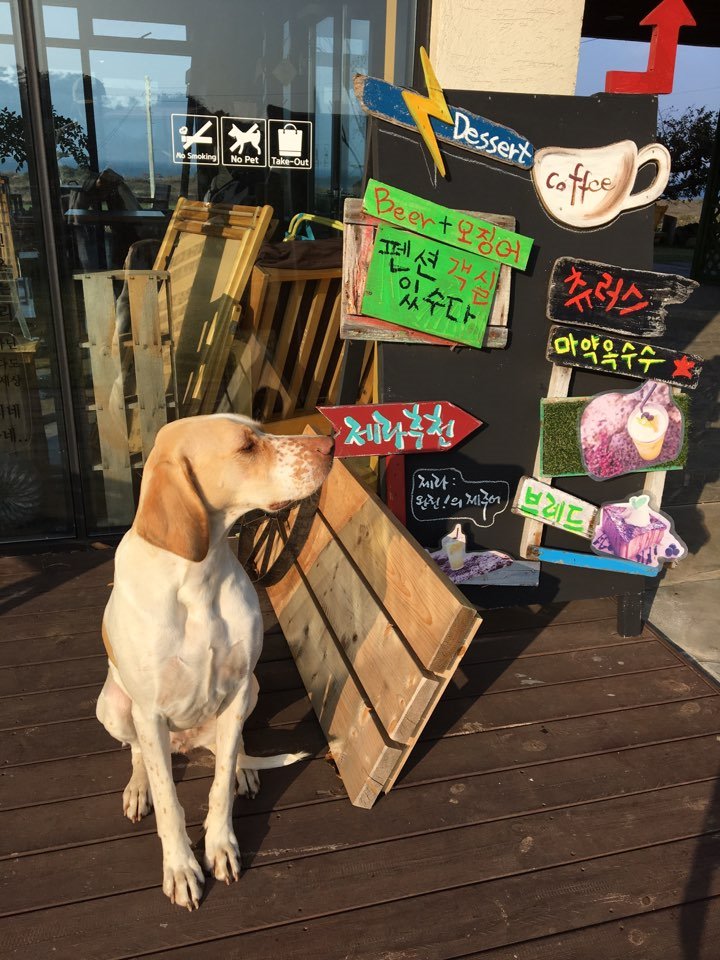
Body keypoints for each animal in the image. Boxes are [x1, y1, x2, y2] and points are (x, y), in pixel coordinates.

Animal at [97, 414, 333, 909]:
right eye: (246, 447)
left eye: (261, 429)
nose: (330, 443)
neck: (196, 576)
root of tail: (187, 744)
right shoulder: (149, 712)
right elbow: (169, 801)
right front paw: (180, 867)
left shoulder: (240, 686)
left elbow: (220, 784)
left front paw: (220, 844)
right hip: (112, 705)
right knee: (139, 754)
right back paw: (138, 786)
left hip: (252, 690)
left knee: (233, 743)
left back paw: (244, 766)